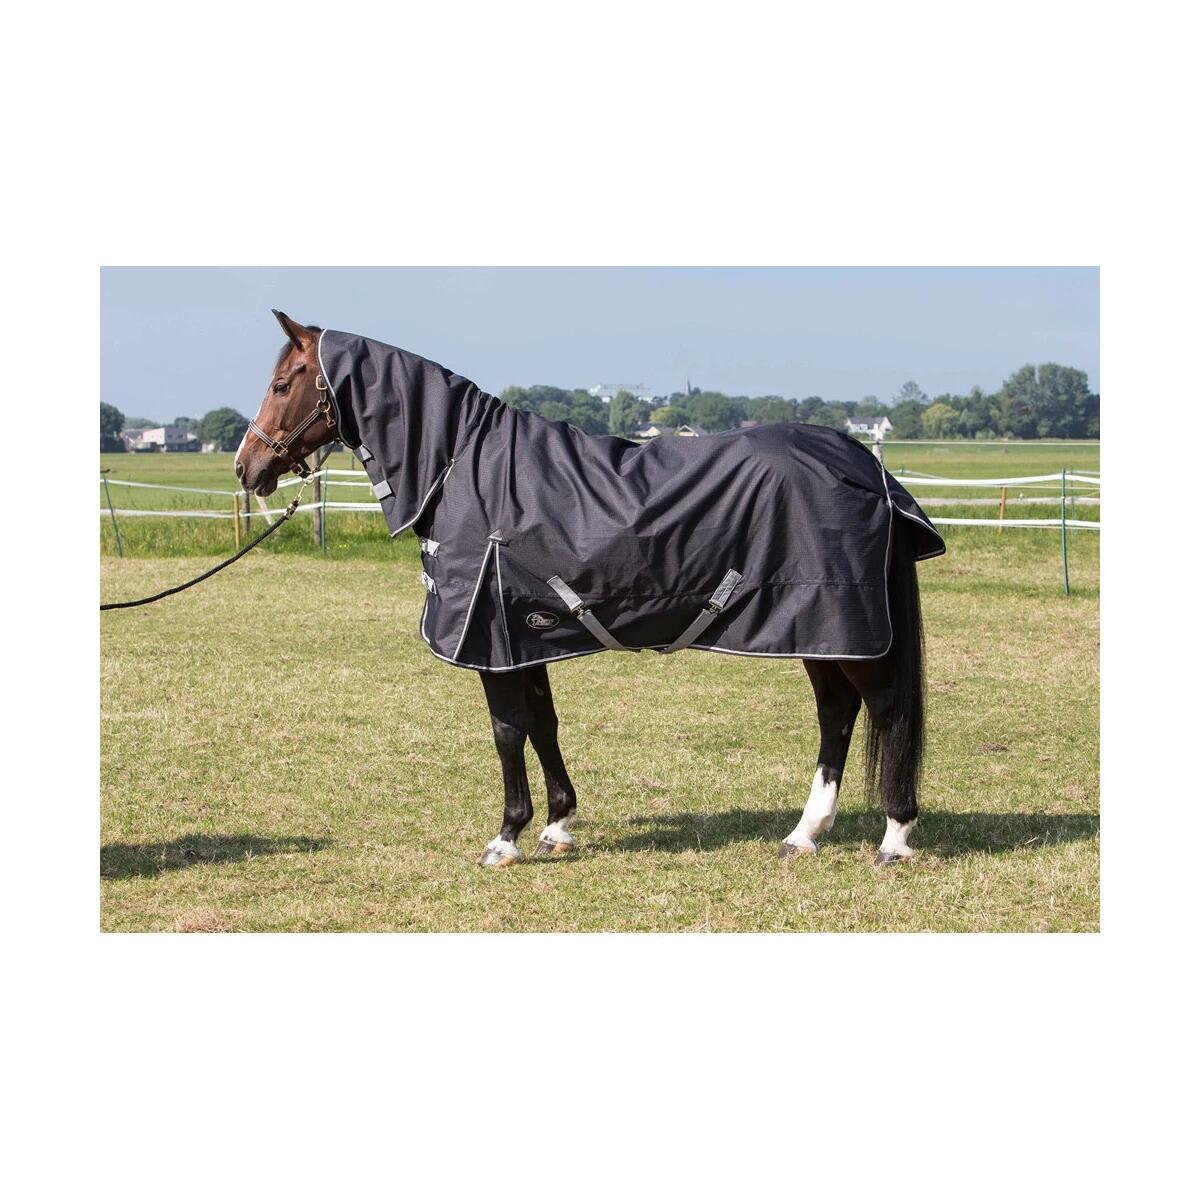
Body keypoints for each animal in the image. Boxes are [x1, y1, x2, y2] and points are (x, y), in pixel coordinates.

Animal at [236, 310, 944, 868]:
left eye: (280, 384)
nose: (247, 467)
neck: (463, 465)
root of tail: (868, 467)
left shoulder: (490, 641)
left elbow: (506, 731)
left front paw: (506, 838)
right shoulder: (524, 637)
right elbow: (542, 723)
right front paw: (557, 826)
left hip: (844, 628)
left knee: (885, 710)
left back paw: (895, 837)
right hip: (819, 632)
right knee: (837, 714)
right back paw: (804, 834)